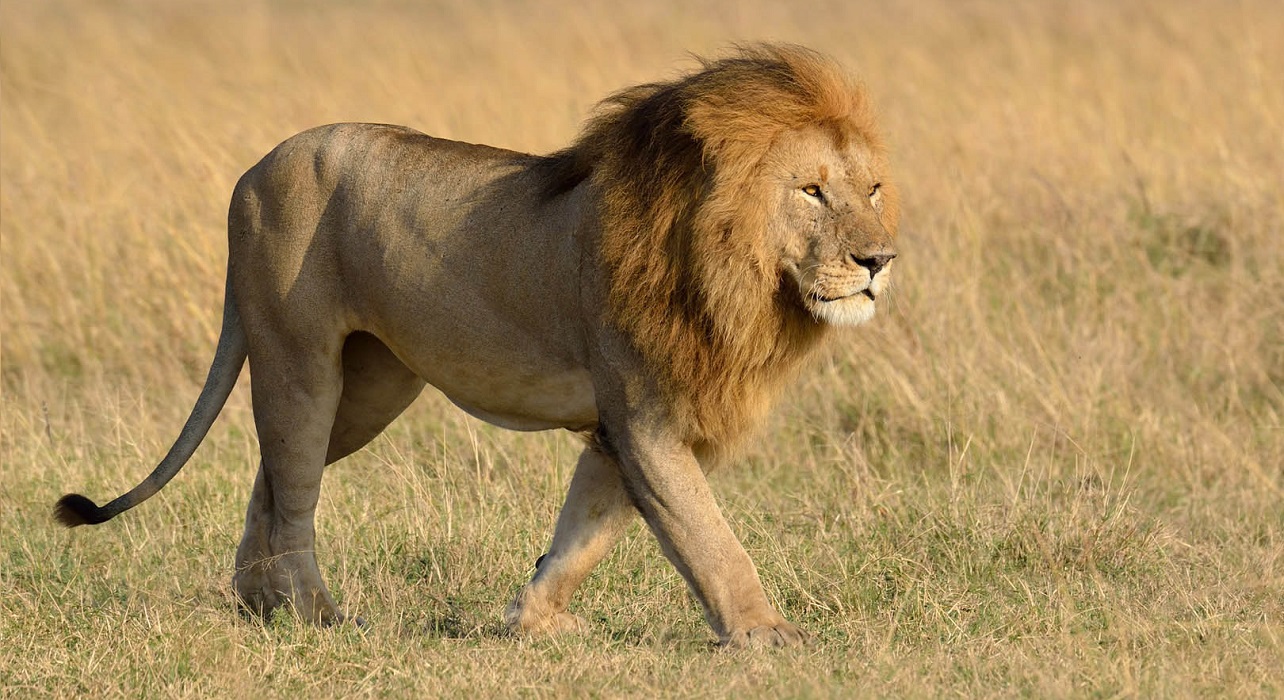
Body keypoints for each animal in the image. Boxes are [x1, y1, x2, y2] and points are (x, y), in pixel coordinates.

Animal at [55, 42, 898, 644]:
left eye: (873, 190)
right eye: (811, 191)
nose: (879, 261)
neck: (737, 277)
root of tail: (254, 170)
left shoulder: (619, 429)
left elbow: (587, 530)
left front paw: (534, 619)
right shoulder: (647, 417)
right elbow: (707, 535)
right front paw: (766, 633)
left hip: (370, 387)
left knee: (273, 474)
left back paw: (258, 600)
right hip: (300, 362)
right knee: (293, 488)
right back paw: (314, 614)